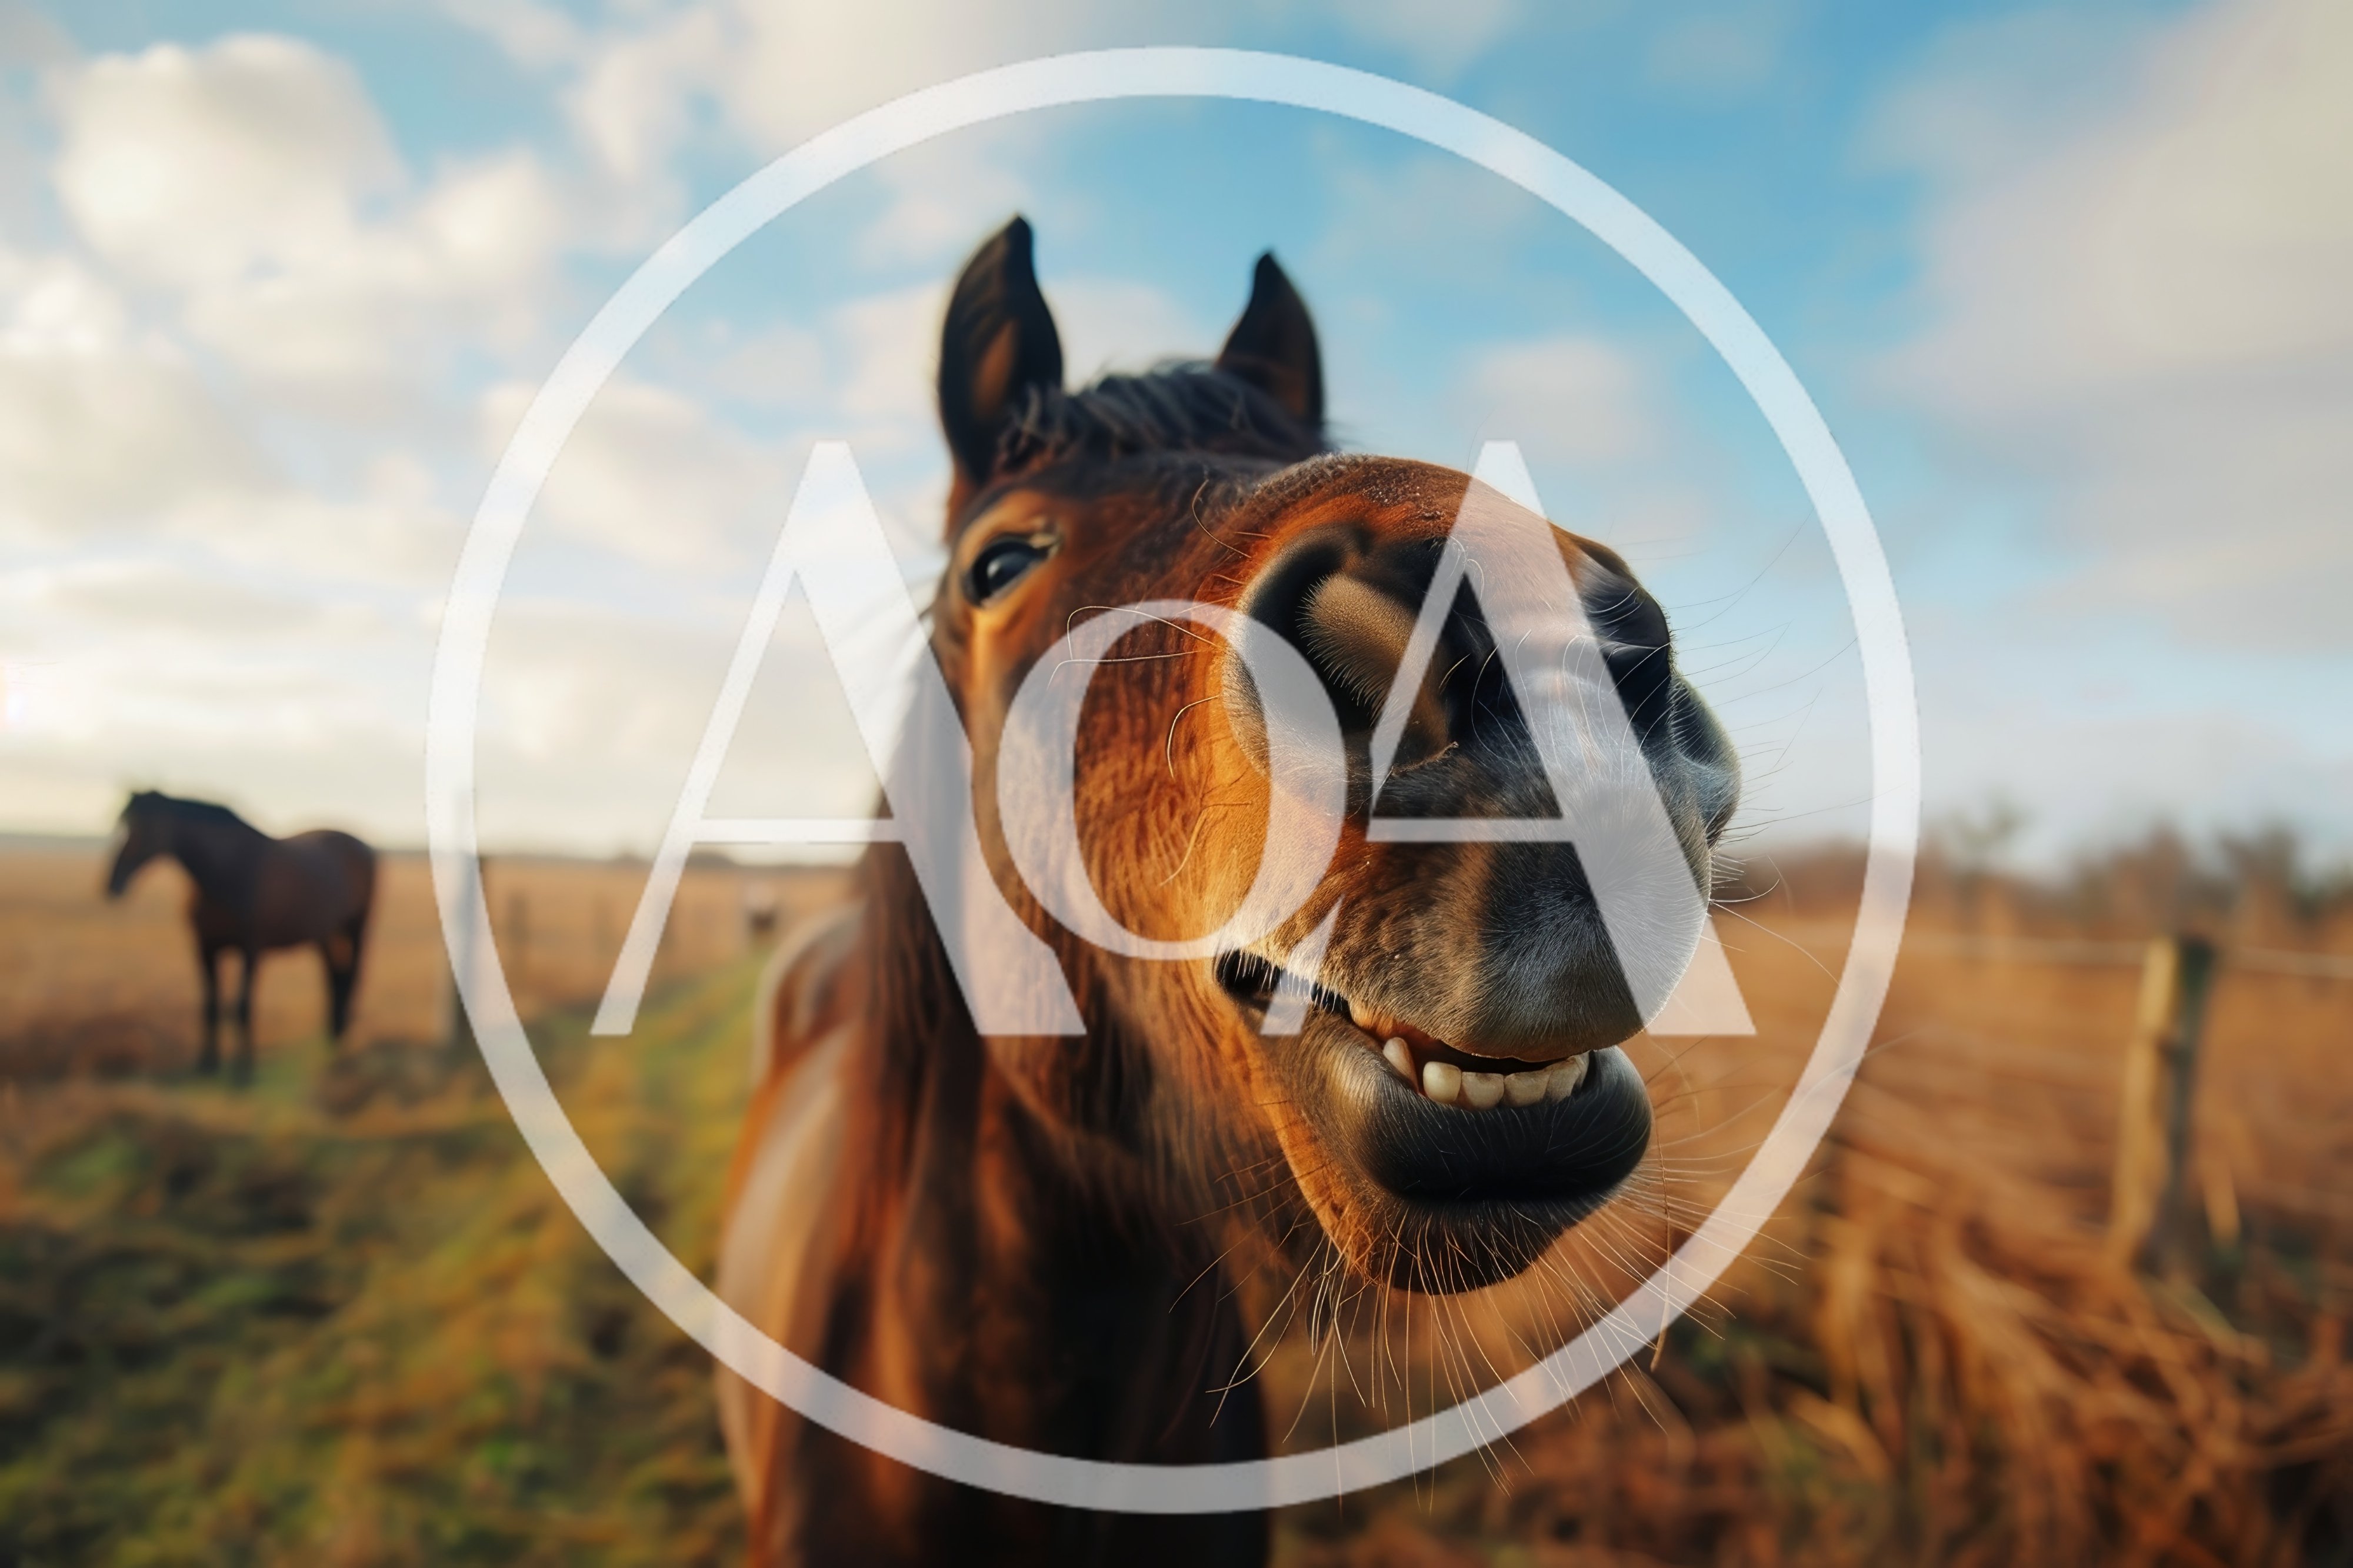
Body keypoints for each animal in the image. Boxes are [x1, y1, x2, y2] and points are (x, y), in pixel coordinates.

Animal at [104, 791, 376, 1081]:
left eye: (145, 825)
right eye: (123, 823)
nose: (113, 882)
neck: (226, 872)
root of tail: (361, 846)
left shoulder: (251, 948)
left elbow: (243, 1007)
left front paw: (243, 1073)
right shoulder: (205, 948)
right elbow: (210, 1007)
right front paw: (208, 1064)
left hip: (357, 928)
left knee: (352, 976)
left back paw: (341, 1041)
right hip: (325, 932)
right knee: (333, 976)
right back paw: (331, 1036)